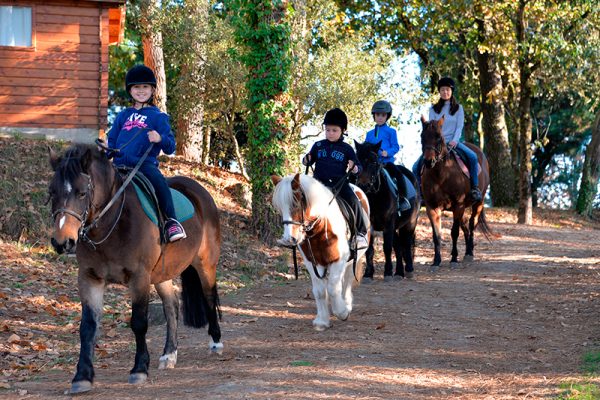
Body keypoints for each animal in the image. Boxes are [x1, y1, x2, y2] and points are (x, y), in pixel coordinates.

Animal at [48, 145, 223, 394]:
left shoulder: (139, 278)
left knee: (209, 297)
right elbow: (88, 327)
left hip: (205, 264)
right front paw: (82, 376)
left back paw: (216, 342)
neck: (112, 224)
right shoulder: (89, 278)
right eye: (52, 192)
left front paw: (139, 369)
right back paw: (169, 354)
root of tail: (200, 191)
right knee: (172, 306)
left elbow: (139, 323)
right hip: (161, 274)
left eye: (82, 193)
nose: (62, 242)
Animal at [270, 175, 368, 332]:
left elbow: (333, 289)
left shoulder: (339, 260)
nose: (288, 239)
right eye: (279, 208)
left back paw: (346, 304)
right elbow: (320, 291)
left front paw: (342, 312)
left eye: (295, 204)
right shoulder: (312, 262)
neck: (320, 230)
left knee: (347, 279)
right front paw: (322, 321)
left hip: (353, 259)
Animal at [420, 116, 490, 272]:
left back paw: (469, 253)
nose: (428, 161)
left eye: (438, 137)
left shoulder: (458, 205)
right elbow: (437, 235)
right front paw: (436, 261)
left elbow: (454, 232)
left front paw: (453, 258)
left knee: (472, 223)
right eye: (422, 136)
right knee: (466, 227)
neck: (441, 175)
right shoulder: (432, 207)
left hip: (478, 203)